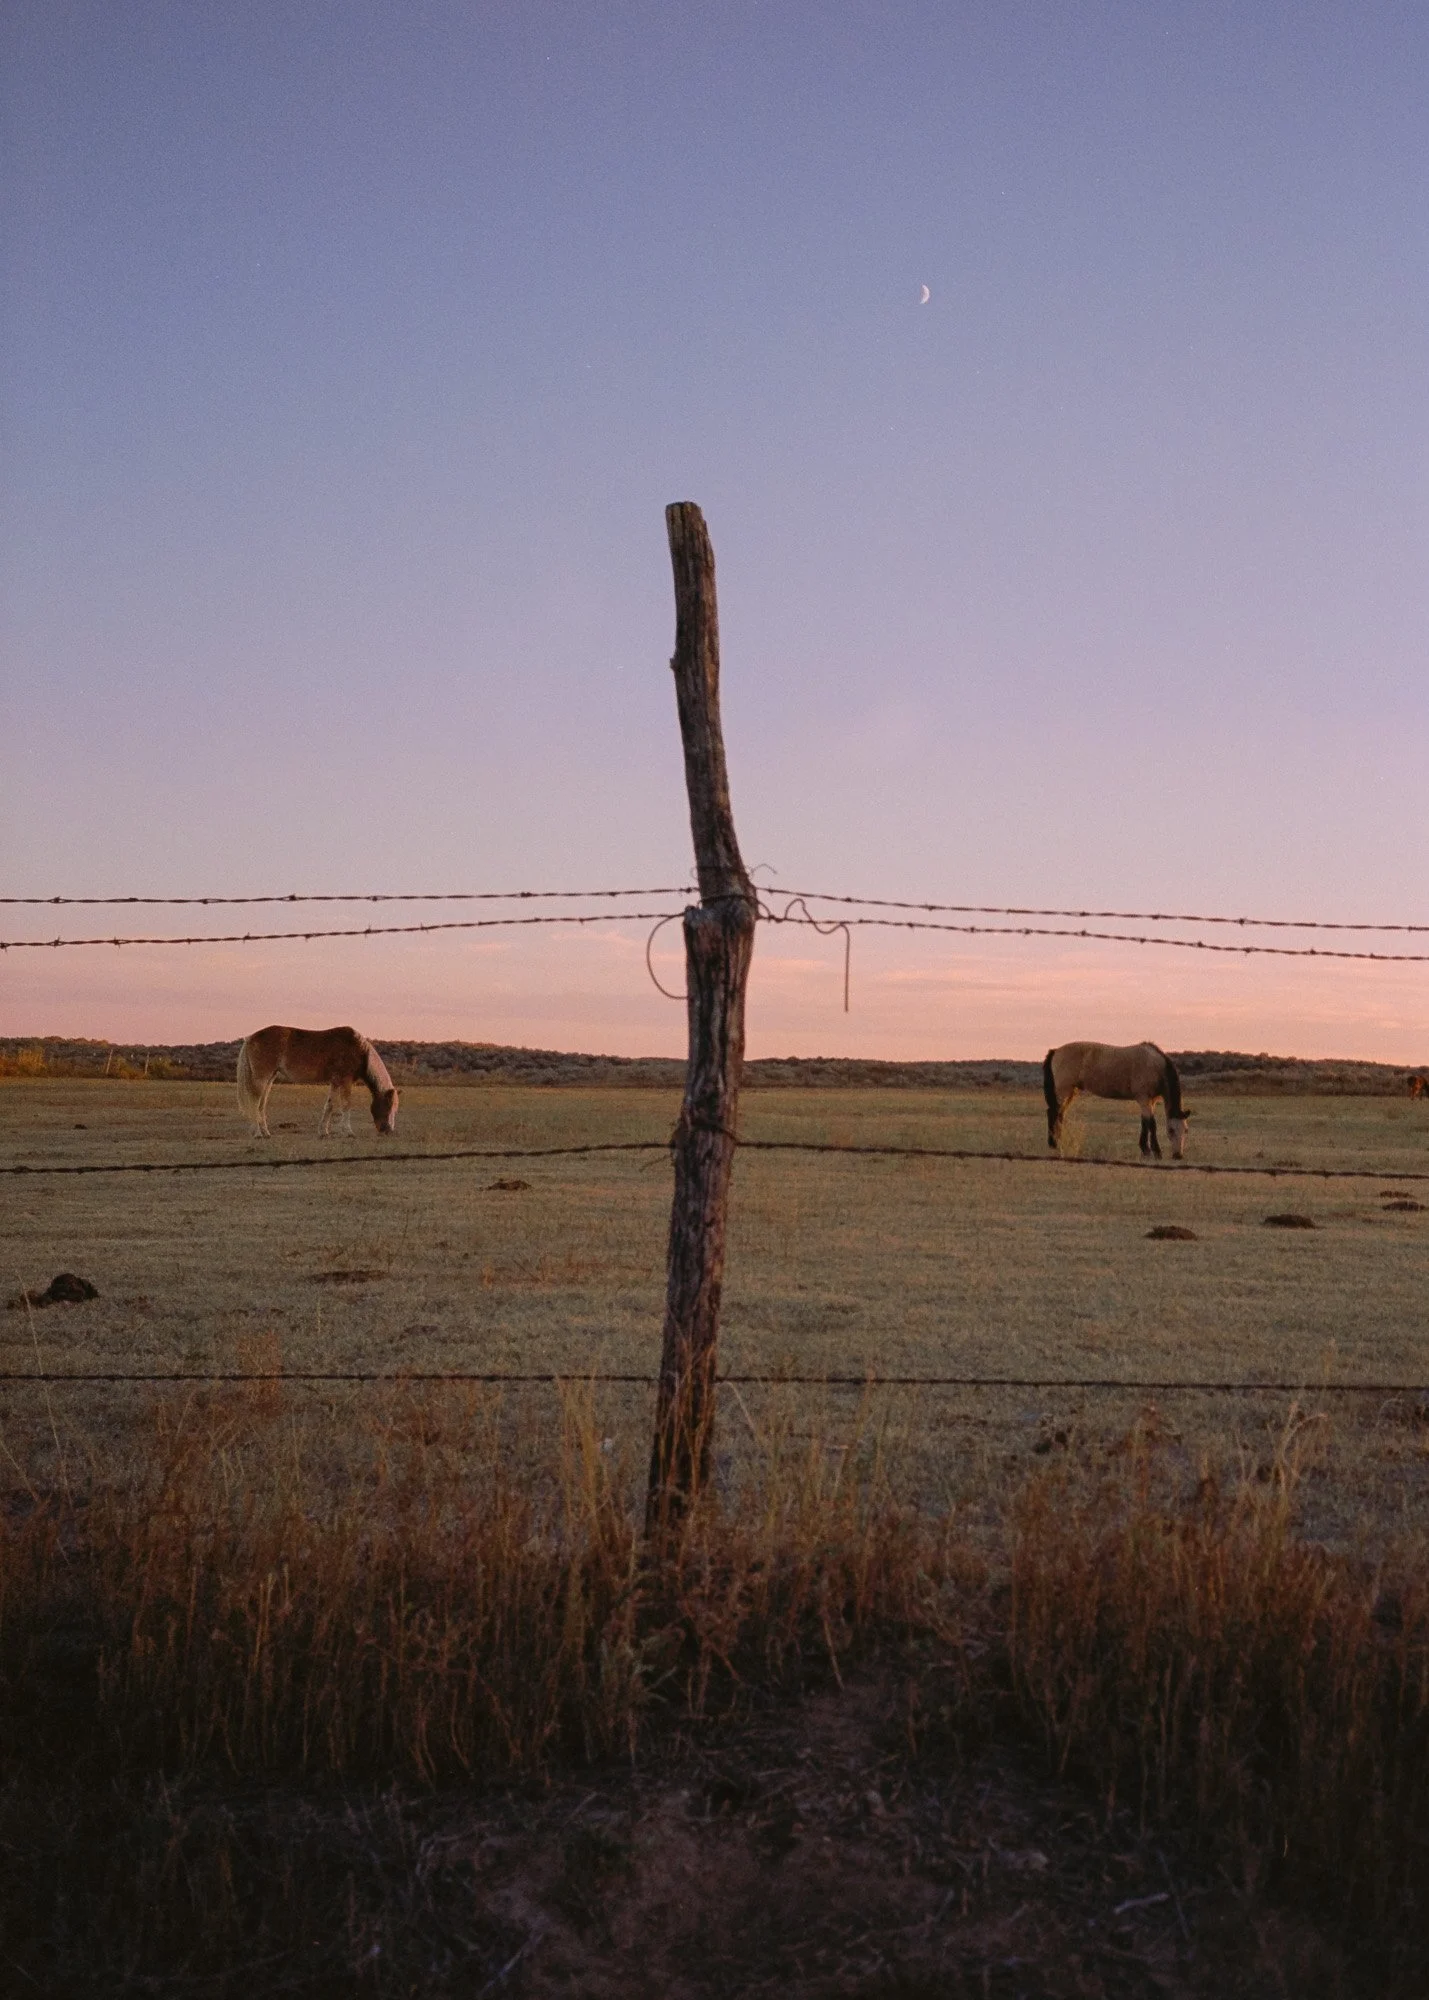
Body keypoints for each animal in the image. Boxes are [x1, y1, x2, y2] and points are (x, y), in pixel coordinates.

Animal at [236, 1026, 399, 1139]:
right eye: (388, 1106)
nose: (388, 1130)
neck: (359, 1050)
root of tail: (250, 1038)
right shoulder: (345, 1081)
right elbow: (346, 1105)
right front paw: (348, 1132)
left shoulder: (335, 1082)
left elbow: (330, 1105)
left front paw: (323, 1132)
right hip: (261, 1079)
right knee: (254, 1104)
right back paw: (258, 1133)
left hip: (269, 1079)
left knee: (261, 1105)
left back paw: (266, 1133)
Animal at [1043, 1041, 1188, 1160]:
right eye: (1171, 1130)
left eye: (1186, 1130)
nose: (1178, 1156)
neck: (1155, 1065)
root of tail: (1056, 1051)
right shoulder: (1144, 1099)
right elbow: (1151, 1124)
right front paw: (1155, 1152)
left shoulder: (1150, 1101)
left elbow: (1145, 1123)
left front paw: (1145, 1150)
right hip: (1063, 1090)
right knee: (1053, 1113)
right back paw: (1053, 1143)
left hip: (1071, 1092)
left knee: (1060, 1114)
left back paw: (1059, 1140)